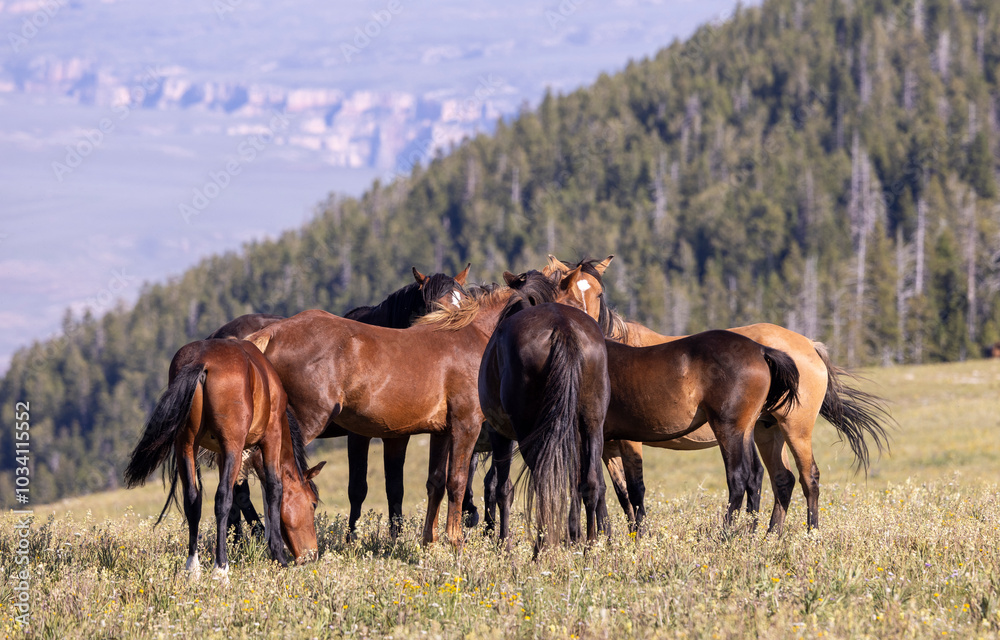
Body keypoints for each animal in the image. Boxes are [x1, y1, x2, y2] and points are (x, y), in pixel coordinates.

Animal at [123, 339, 324, 579]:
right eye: (313, 504)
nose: (312, 555)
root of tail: (202, 360)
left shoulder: (219, 454)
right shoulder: (271, 437)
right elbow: (274, 490)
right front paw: (278, 556)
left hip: (186, 446)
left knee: (193, 500)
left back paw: (193, 568)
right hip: (232, 446)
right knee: (222, 498)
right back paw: (221, 568)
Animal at [205, 265, 472, 540]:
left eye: (463, 303)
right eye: (432, 305)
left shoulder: (397, 434)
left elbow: (395, 487)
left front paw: (395, 535)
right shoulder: (359, 434)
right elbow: (358, 488)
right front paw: (352, 536)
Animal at [245, 271, 533, 547]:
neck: (470, 336)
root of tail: (271, 334)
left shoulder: (439, 432)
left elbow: (435, 482)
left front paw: (429, 541)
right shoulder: (465, 425)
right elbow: (456, 481)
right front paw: (455, 542)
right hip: (302, 424)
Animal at [478, 270, 610, 552]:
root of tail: (563, 327)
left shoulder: (499, 432)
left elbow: (502, 489)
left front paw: (504, 544)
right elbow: (575, 482)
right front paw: (574, 535)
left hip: (530, 430)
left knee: (543, 481)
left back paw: (540, 549)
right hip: (592, 423)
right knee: (590, 482)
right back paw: (590, 548)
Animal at [544, 255, 893, 532]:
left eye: (599, 292)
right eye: (563, 290)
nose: (584, 325)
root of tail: (809, 345)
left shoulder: (629, 441)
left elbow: (635, 488)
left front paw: (637, 536)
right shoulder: (608, 445)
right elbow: (620, 493)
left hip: (792, 428)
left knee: (808, 477)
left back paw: (808, 532)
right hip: (767, 431)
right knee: (783, 479)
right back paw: (769, 534)